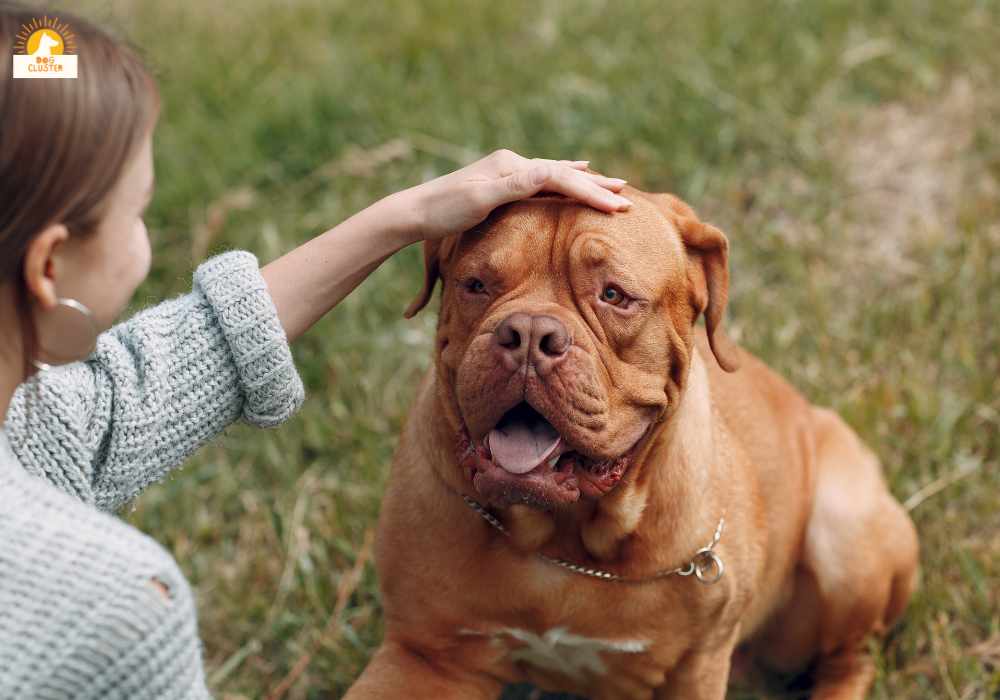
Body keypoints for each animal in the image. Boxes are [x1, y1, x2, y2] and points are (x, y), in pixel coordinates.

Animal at [346, 186, 920, 700]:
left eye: (613, 295)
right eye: (477, 284)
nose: (528, 334)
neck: (563, 545)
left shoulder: (694, 670)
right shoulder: (426, 656)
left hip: (844, 533)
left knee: (851, 659)